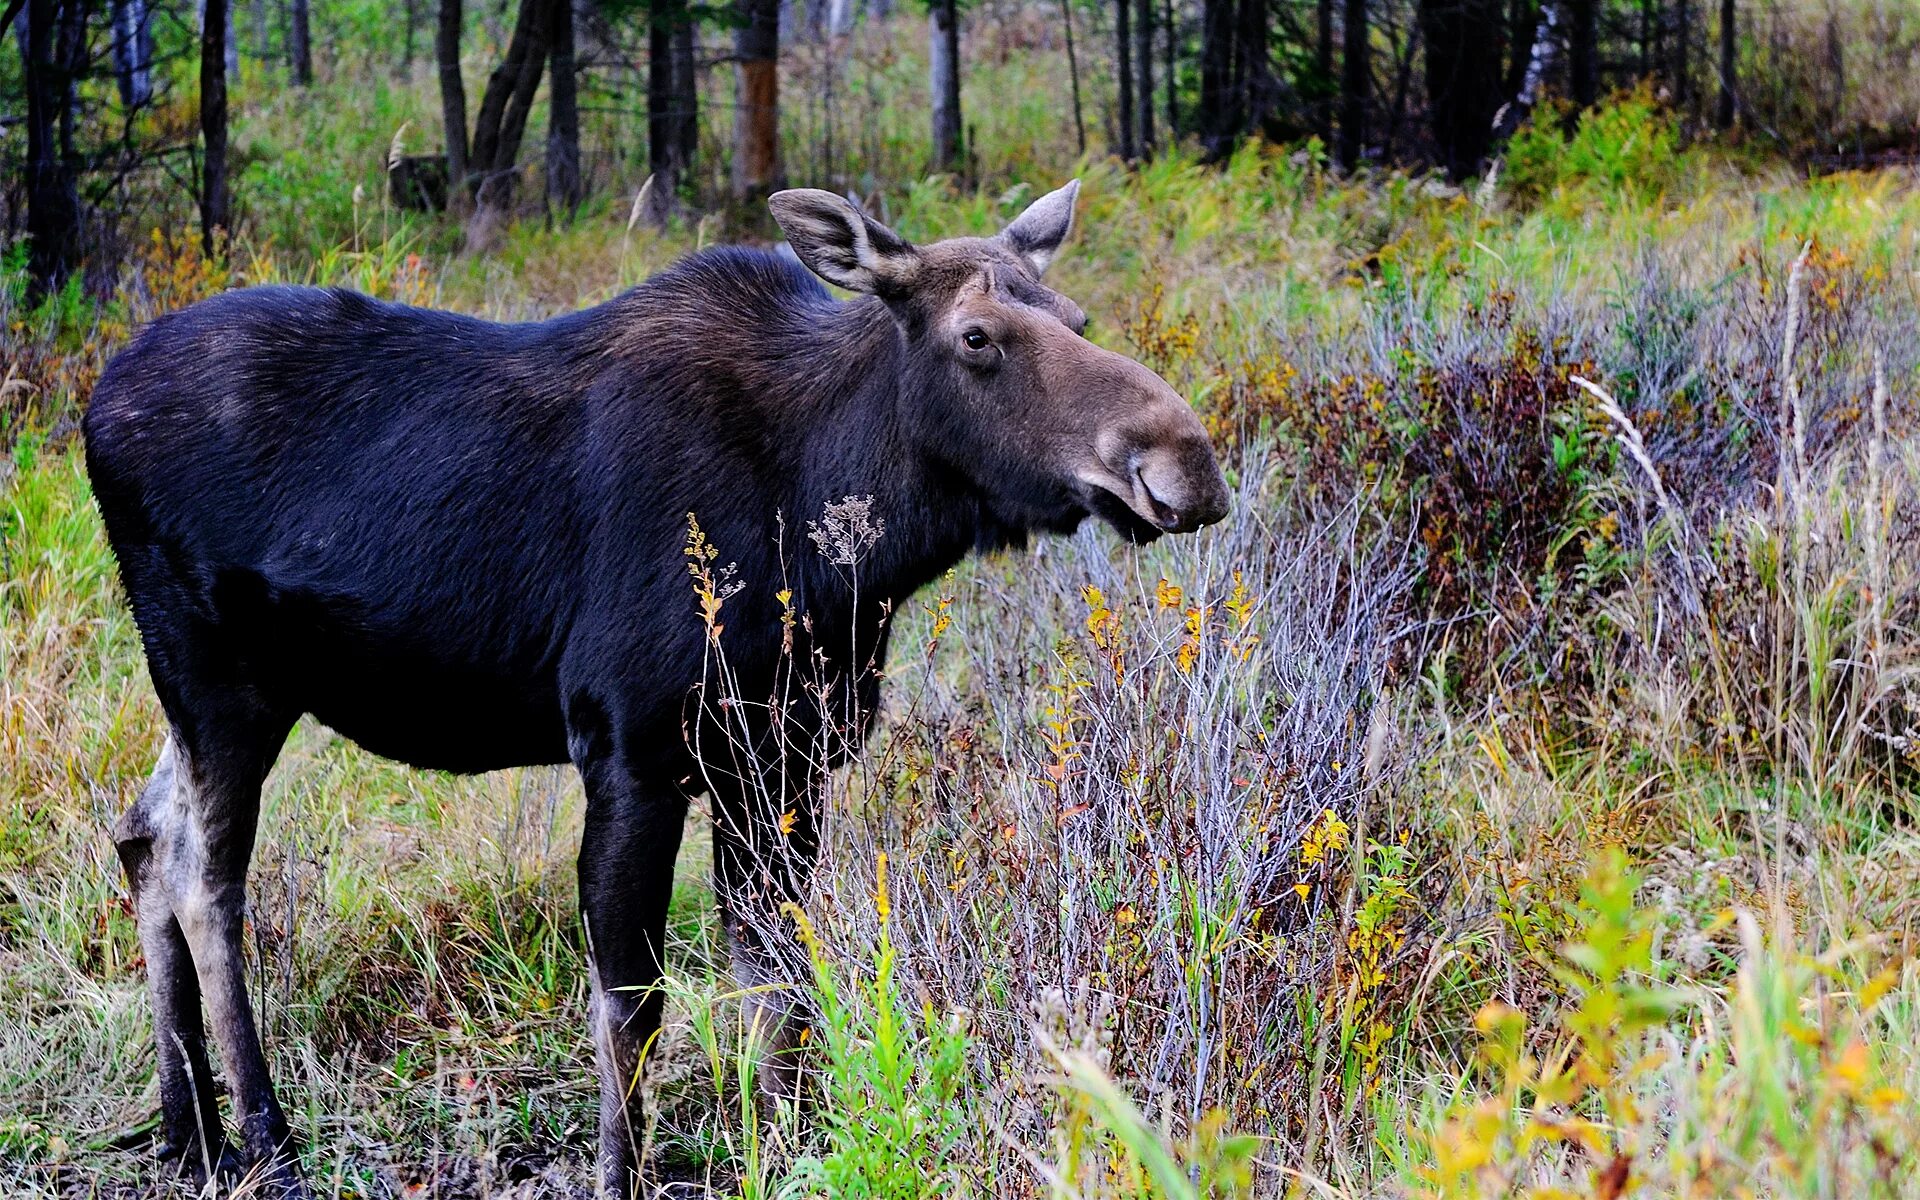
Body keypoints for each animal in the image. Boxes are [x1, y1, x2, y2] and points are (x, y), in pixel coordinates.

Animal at [82, 180, 1221, 1198]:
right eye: (978, 336)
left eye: (1077, 318)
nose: (1185, 463)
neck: (839, 530)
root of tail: (93, 405)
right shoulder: (632, 750)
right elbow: (633, 1008)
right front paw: (626, 1172)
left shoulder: (783, 759)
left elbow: (777, 983)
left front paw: (789, 1148)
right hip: (217, 678)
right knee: (204, 879)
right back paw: (265, 1145)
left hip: (220, 693)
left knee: (140, 834)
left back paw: (189, 1134)